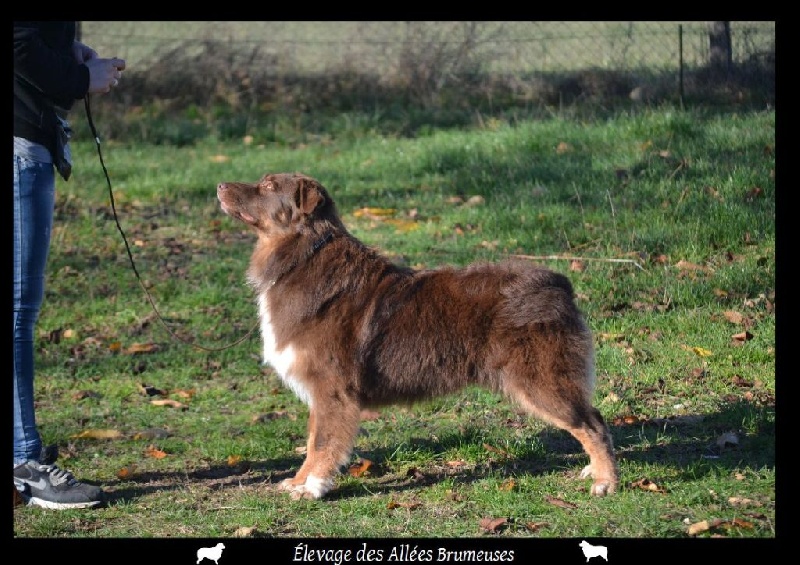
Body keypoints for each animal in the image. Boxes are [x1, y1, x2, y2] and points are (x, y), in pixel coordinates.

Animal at [214, 171, 620, 498]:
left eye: (268, 186)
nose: (219, 186)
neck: (300, 256)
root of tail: (558, 282)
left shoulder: (331, 389)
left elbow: (324, 444)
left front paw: (312, 489)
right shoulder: (321, 393)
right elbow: (313, 440)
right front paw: (298, 481)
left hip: (540, 380)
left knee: (594, 424)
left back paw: (605, 482)